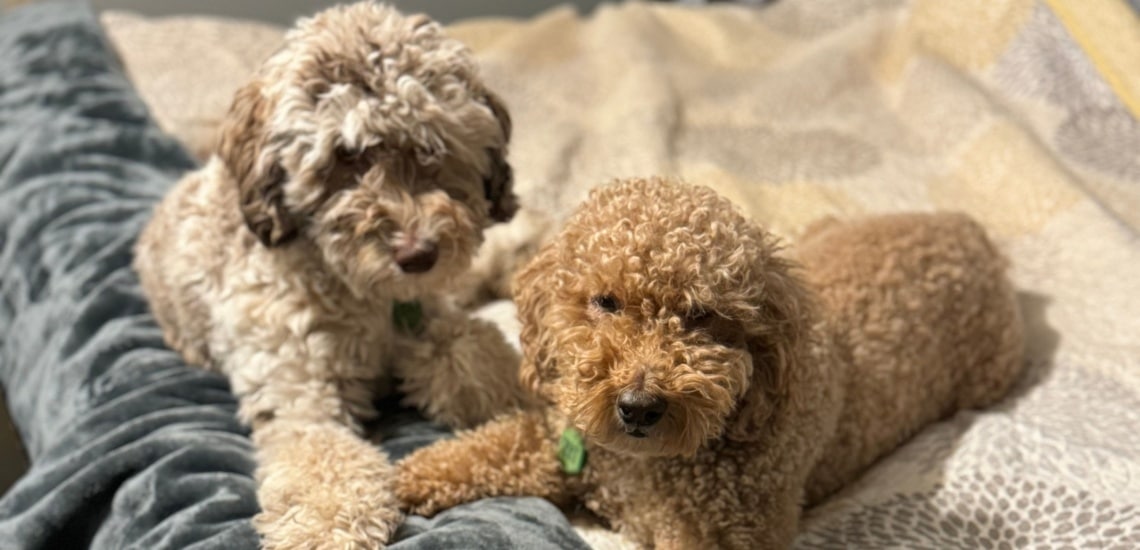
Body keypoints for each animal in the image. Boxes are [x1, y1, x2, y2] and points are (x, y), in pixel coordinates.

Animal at [134, 2, 528, 547]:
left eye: (433, 147)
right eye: (347, 156)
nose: (418, 255)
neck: (365, 297)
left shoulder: (431, 316)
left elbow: (474, 353)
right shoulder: (301, 393)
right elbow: (323, 460)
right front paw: (328, 527)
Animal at [394, 178, 1026, 547]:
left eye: (702, 315)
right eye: (605, 301)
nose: (638, 407)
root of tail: (967, 227)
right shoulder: (565, 444)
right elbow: (491, 448)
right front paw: (400, 480)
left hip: (990, 372)